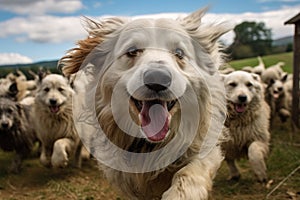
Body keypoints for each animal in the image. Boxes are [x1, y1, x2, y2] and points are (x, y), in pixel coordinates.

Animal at [60, 7, 230, 200]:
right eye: (132, 51)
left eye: (179, 53)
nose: (158, 78)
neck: (151, 145)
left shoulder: (205, 149)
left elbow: (188, 174)